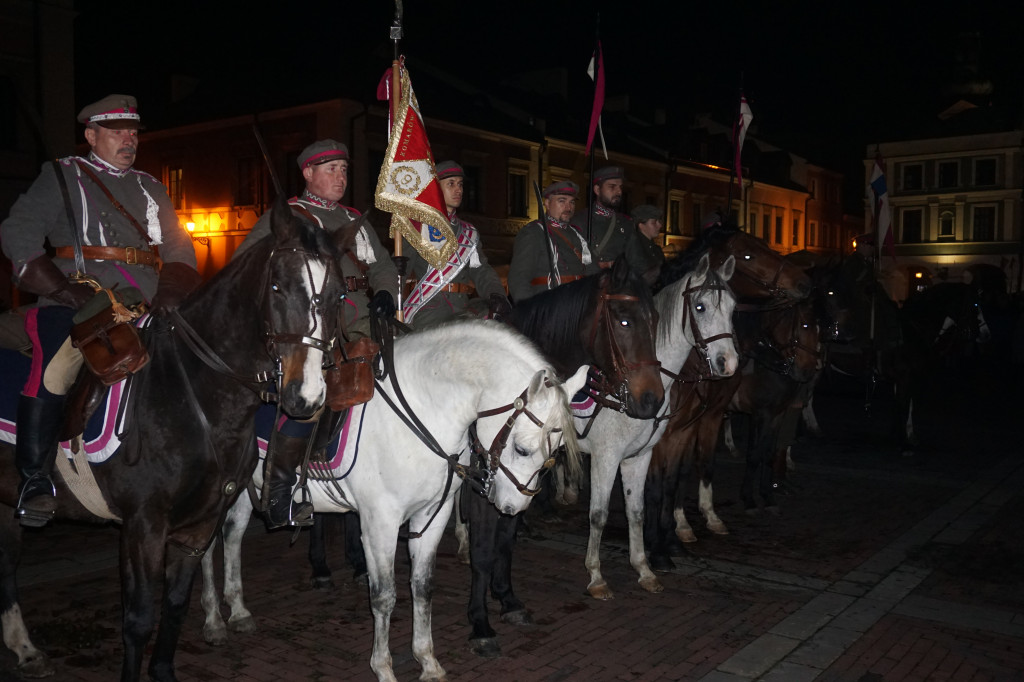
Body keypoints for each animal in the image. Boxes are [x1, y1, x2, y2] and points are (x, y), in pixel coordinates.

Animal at [0, 197, 356, 679]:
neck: (198, 395)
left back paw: (24, 648)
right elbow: (138, 619)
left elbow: (174, 604)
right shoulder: (143, 526)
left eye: (338, 294)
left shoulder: (199, 524)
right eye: (278, 287)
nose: (307, 396)